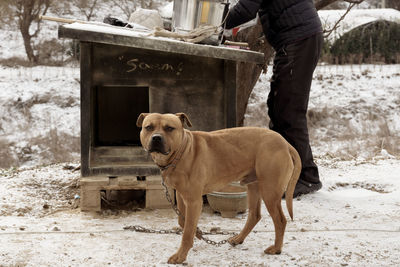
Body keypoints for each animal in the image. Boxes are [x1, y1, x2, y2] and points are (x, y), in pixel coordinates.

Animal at [137, 112, 300, 264]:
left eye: (169, 128)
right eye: (149, 127)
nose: (156, 138)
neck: (181, 152)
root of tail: (285, 143)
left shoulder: (194, 201)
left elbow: (187, 231)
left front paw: (180, 256)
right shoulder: (182, 197)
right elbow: (183, 223)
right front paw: (197, 233)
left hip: (269, 191)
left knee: (280, 220)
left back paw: (276, 248)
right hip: (254, 187)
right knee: (254, 215)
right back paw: (238, 238)